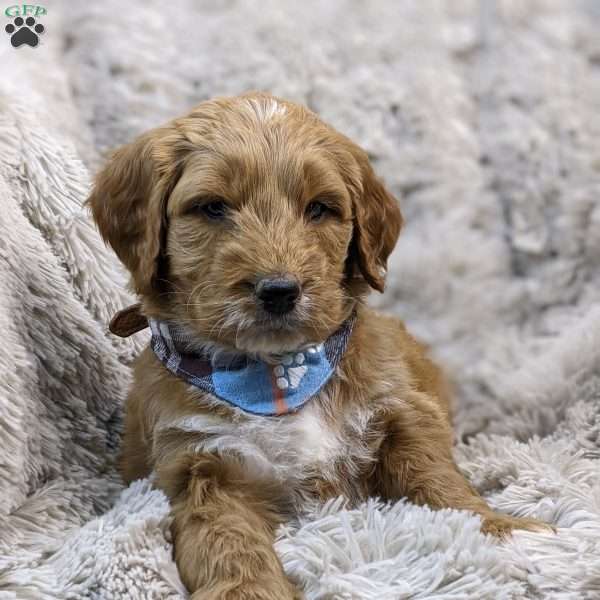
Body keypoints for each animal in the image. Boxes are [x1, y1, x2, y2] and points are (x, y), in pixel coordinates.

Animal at [89, 91, 552, 596]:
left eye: (319, 209)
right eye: (212, 207)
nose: (279, 290)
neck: (278, 372)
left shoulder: (401, 411)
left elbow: (435, 478)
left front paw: (500, 530)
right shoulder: (201, 463)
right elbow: (226, 541)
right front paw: (249, 591)